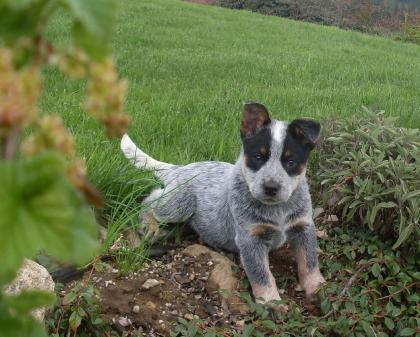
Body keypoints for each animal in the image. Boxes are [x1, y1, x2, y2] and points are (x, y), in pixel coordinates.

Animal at [120, 102, 324, 304]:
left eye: (291, 162)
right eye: (258, 157)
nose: (271, 187)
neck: (278, 210)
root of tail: (181, 168)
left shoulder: (303, 226)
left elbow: (309, 262)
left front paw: (318, 287)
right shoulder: (250, 238)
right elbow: (261, 273)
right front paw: (271, 301)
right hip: (178, 205)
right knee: (150, 199)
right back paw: (149, 225)